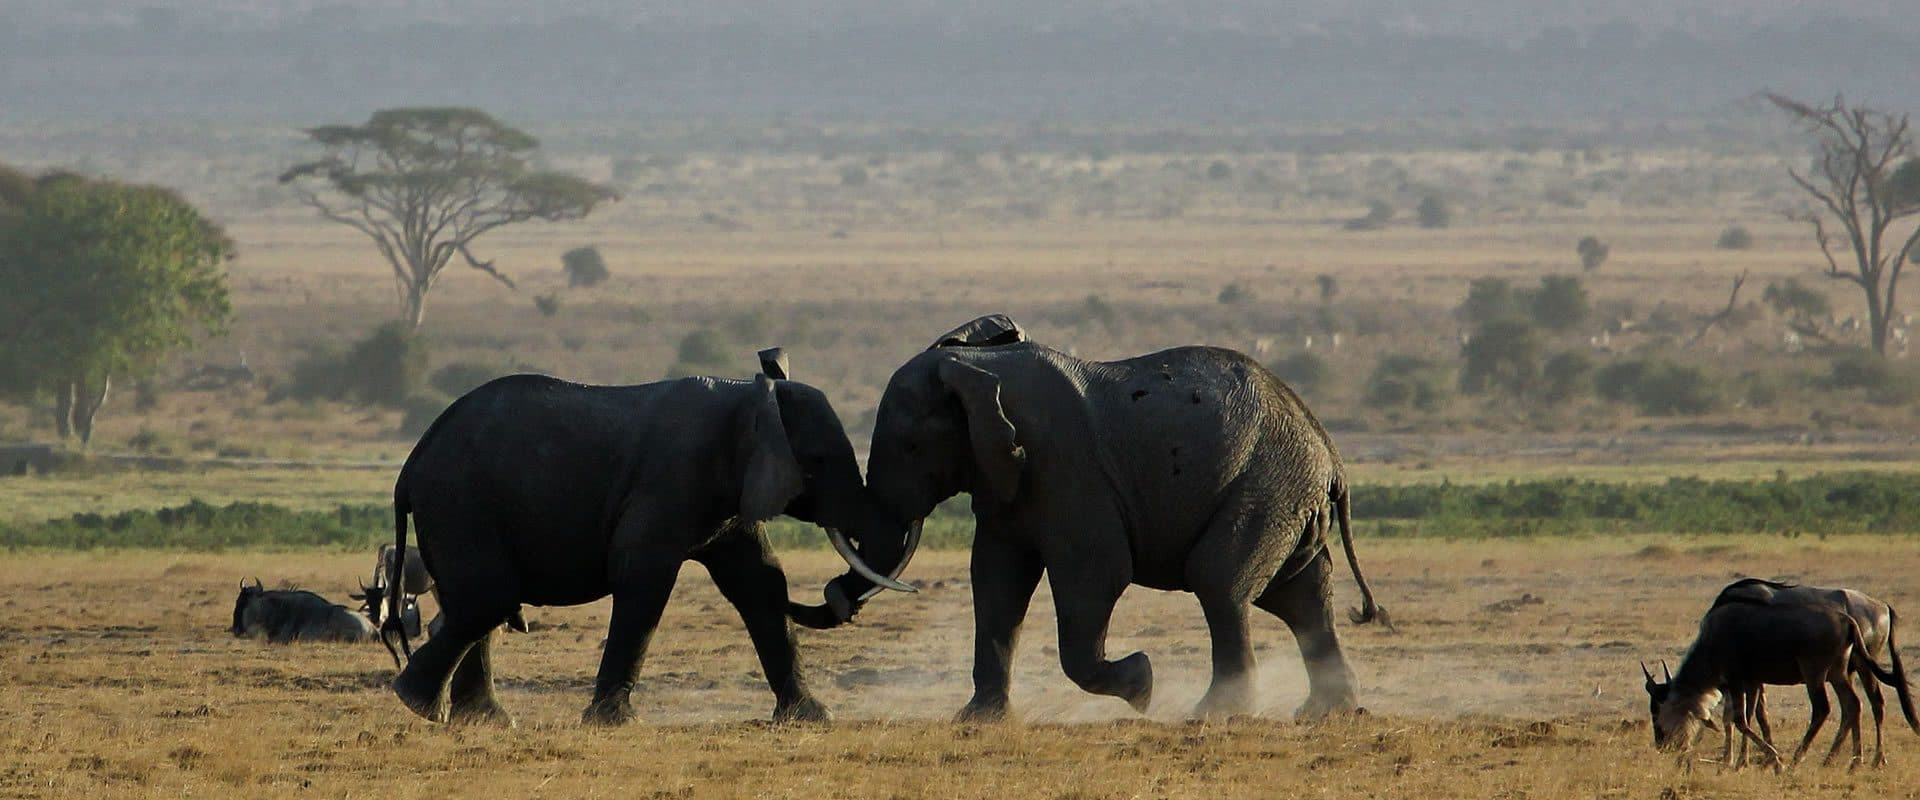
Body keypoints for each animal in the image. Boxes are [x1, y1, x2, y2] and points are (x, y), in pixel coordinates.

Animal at [383, 349, 919, 726]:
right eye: (820, 461)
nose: (840, 595)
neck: (749, 397)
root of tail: (410, 465)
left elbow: (761, 583)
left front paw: (812, 718)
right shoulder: (671, 477)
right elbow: (644, 579)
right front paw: (613, 723)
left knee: (479, 603)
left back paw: (482, 719)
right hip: (459, 503)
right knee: (489, 598)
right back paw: (416, 704)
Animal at [863, 315, 1388, 722]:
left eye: (909, 447)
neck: (979, 366)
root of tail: (1331, 455)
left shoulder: (1066, 469)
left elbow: (1096, 574)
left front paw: (1142, 686)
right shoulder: (1006, 481)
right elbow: (996, 579)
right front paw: (977, 721)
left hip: (1269, 485)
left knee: (1220, 582)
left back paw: (1213, 715)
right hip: (1287, 496)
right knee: (1300, 595)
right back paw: (1324, 712)